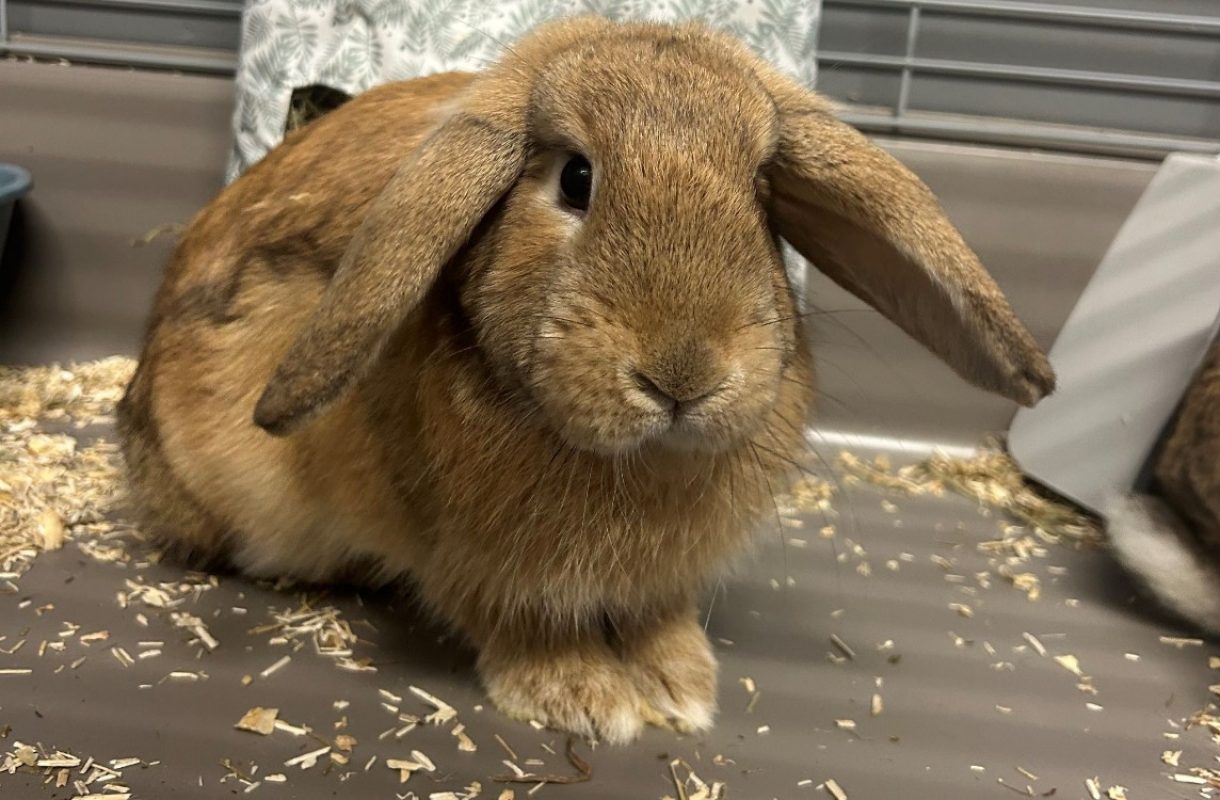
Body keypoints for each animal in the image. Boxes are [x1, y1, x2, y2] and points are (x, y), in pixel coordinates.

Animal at [117, 16, 1054, 743]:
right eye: (575, 177)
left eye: (761, 190)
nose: (683, 376)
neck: (633, 463)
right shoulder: (470, 560)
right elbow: (519, 621)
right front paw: (584, 698)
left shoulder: (657, 581)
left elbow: (656, 617)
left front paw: (682, 686)